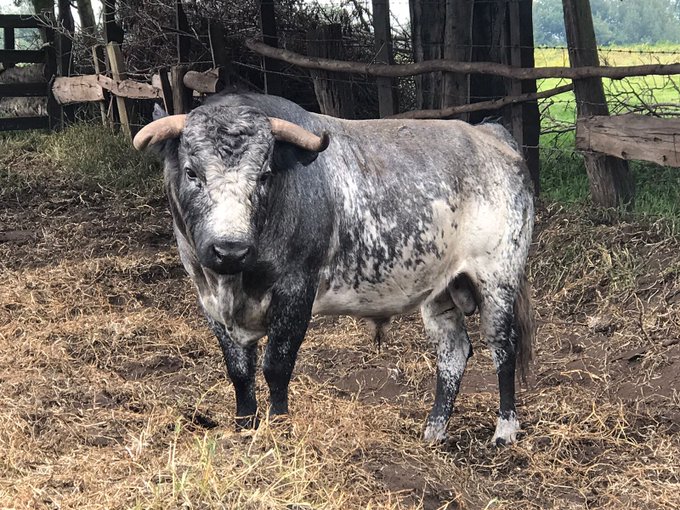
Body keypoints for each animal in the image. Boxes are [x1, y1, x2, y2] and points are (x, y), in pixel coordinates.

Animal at [134, 93, 536, 444]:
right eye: (191, 172)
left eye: (264, 175)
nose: (230, 249)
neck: (235, 281)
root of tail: (488, 134)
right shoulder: (209, 300)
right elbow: (239, 372)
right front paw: (245, 427)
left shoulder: (296, 293)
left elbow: (276, 366)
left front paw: (279, 428)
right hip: (440, 289)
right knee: (453, 351)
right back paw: (434, 431)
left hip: (497, 279)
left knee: (503, 347)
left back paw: (505, 430)